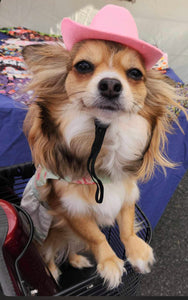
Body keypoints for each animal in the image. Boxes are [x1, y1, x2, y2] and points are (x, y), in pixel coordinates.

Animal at [20, 4, 187, 290]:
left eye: (135, 74)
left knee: (71, 247)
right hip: (48, 234)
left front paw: (137, 251)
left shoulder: (127, 192)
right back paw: (53, 270)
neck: (104, 137)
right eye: (83, 66)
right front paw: (109, 263)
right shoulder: (71, 209)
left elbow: (126, 226)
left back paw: (77, 259)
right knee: (49, 254)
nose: (110, 84)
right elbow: (96, 235)